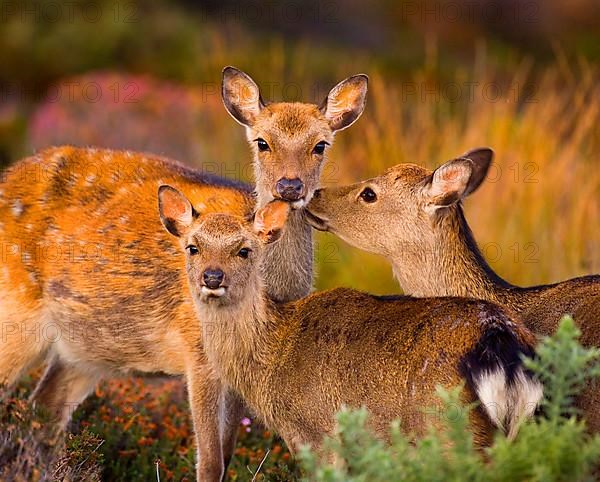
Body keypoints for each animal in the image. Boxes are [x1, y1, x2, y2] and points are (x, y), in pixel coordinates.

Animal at [0, 66, 368, 480]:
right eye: (262, 142)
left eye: (320, 145)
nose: (289, 187)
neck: (276, 292)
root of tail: (8, 176)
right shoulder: (198, 354)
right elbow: (209, 460)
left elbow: (227, 452)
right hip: (15, 308)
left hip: (83, 350)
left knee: (43, 410)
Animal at [159, 185, 544, 452]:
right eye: (193, 247)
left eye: (244, 250)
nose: (212, 277)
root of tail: (501, 344)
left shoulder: (317, 432)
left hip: (447, 427)